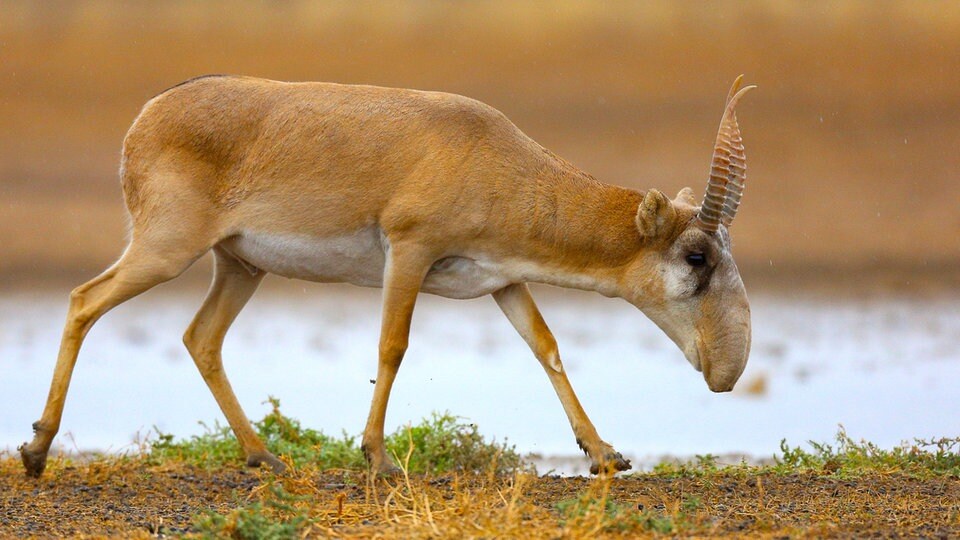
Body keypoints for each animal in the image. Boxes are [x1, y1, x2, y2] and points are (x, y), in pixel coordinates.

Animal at [18, 74, 756, 474]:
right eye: (696, 256)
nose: (727, 371)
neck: (493, 153)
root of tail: (150, 113)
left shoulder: (502, 280)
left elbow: (546, 347)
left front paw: (605, 455)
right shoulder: (410, 252)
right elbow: (392, 345)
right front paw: (376, 457)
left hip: (239, 266)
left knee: (200, 338)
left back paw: (265, 457)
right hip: (167, 251)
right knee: (83, 300)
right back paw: (36, 453)